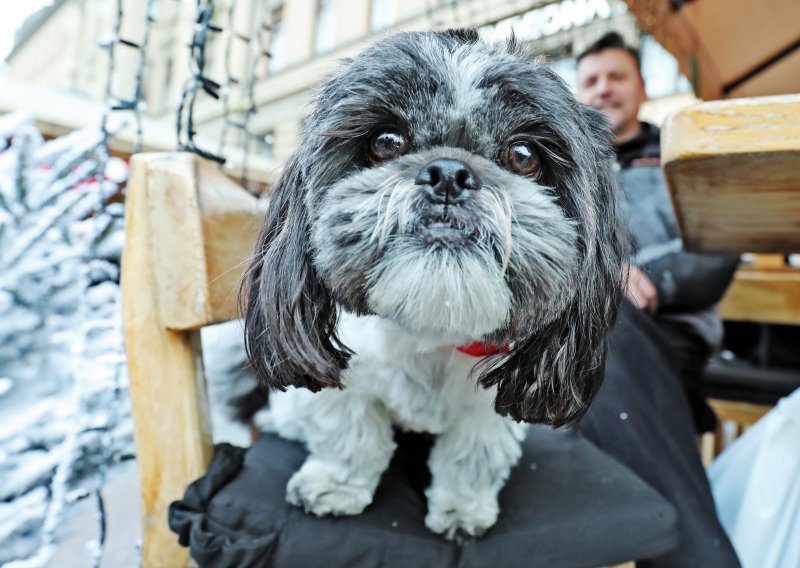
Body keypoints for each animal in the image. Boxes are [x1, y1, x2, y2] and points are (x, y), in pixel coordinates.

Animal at [241, 28, 628, 540]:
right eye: (386, 142)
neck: (430, 329)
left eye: (524, 156)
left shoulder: (485, 412)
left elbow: (471, 457)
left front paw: (463, 510)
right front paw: (334, 486)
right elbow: (349, 434)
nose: (448, 173)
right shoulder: (350, 384)